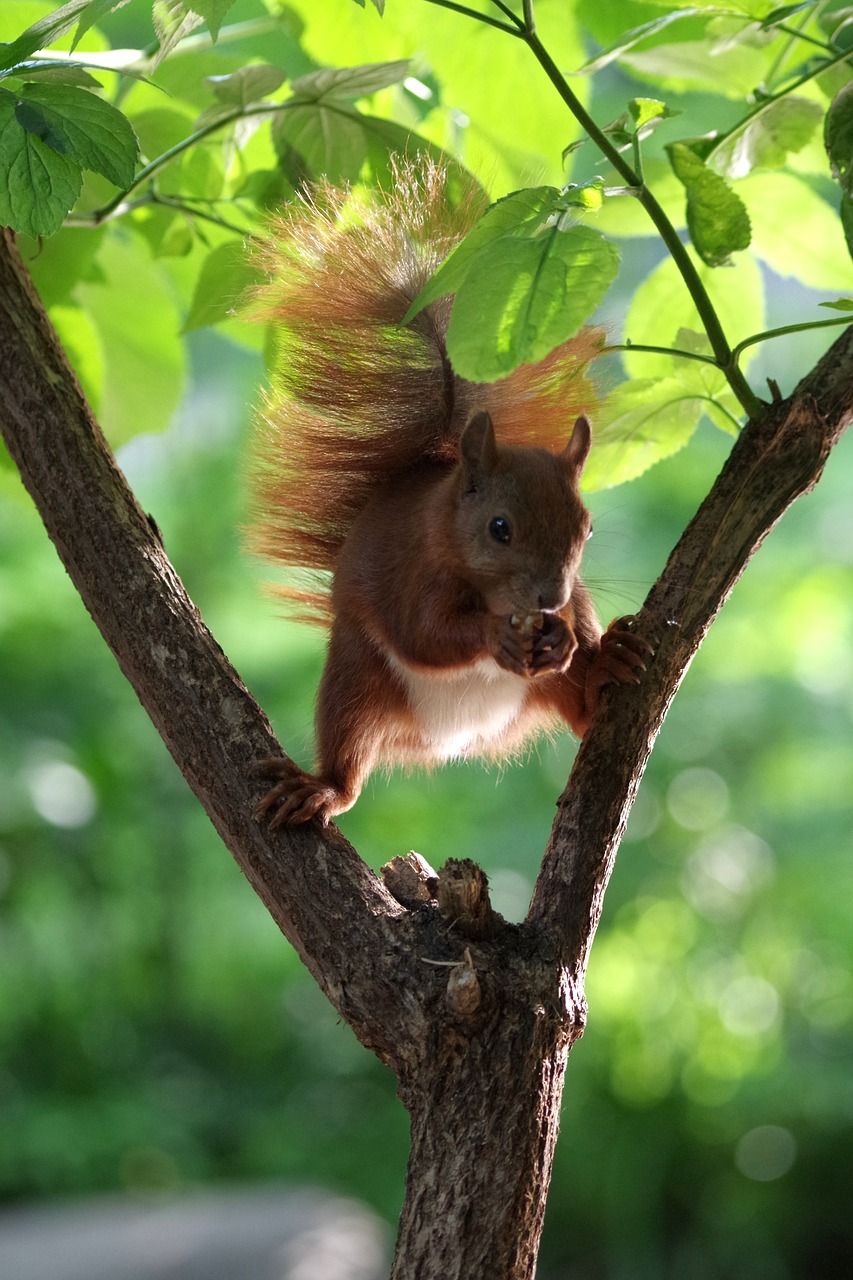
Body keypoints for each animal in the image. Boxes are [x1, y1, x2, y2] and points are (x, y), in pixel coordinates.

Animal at [249, 157, 648, 829]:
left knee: (581, 708)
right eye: (499, 528)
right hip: (356, 679)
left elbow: (580, 611)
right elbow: (424, 633)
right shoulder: (412, 573)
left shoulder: (573, 593)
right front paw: (491, 634)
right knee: (349, 756)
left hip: (544, 687)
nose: (549, 597)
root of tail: (451, 739)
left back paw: (606, 665)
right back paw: (322, 787)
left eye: (587, 529)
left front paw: (569, 636)